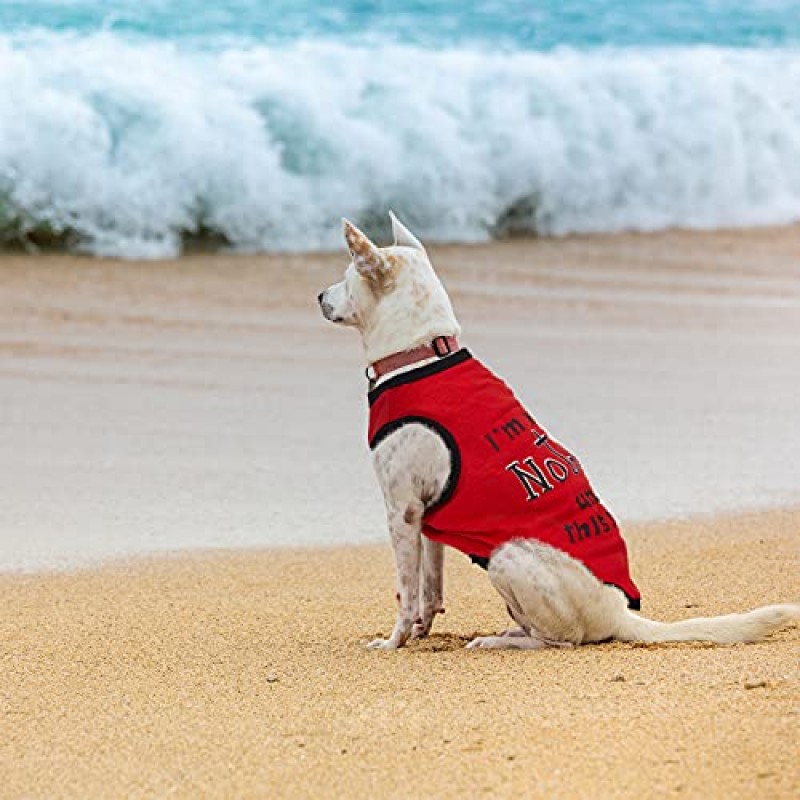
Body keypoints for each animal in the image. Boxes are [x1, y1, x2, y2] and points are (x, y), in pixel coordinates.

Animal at [318, 212, 800, 648]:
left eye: (346, 276)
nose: (320, 295)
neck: (422, 351)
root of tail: (619, 612)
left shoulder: (401, 511)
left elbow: (405, 591)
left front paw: (394, 642)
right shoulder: (425, 517)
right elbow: (429, 588)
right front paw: (421, 631)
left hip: (507, 555)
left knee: (562, 640)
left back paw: (504, 641)